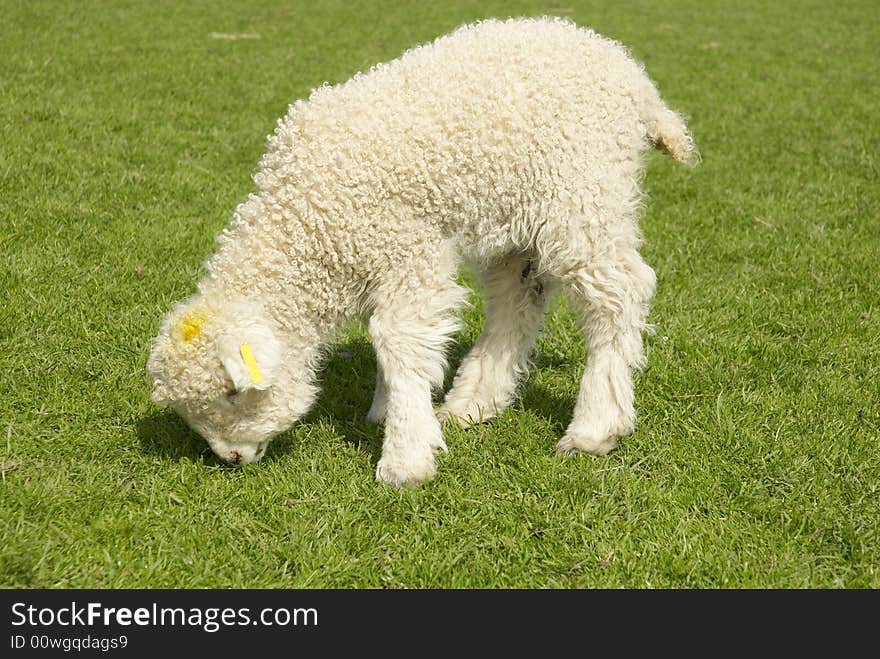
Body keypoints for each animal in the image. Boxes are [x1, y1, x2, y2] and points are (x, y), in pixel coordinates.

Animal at [146, 18, 696, 488]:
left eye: (232, 393)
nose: (232, 458)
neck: (309, 221)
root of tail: (634, 79)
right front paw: (387, 410)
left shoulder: (407, 249)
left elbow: (399, 342)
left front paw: (405, 457)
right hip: (515, 215)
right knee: (517, 300)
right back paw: (474, 402)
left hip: (584, 195)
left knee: (616, 295)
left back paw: (595, 427)